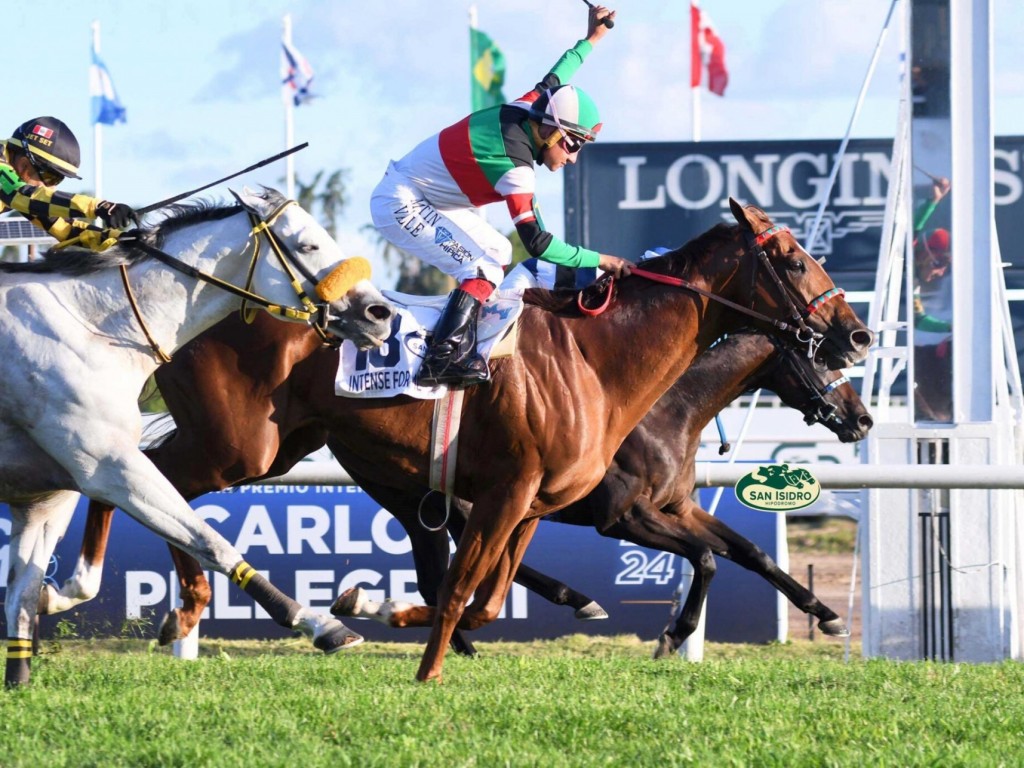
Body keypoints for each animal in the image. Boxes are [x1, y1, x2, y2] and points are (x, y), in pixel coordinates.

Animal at [0, 185, 393, 684]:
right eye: (308, 245)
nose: (379, 313)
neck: (93, 327)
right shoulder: (107, 464)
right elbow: (211, 541)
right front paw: (321, 623)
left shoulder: (47, 495)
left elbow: (23, 595)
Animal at [49, 201, 872, 684]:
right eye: (792, 259)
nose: (857, 337)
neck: (600, 363)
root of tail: (200, 295)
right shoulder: (583, 506)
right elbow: (465, 593)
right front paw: (424, 663)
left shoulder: (537, 502)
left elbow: (484, 596)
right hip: (239, 444)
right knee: (141, 478)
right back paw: (96, 585)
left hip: (295, 450)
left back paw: (182, 605)